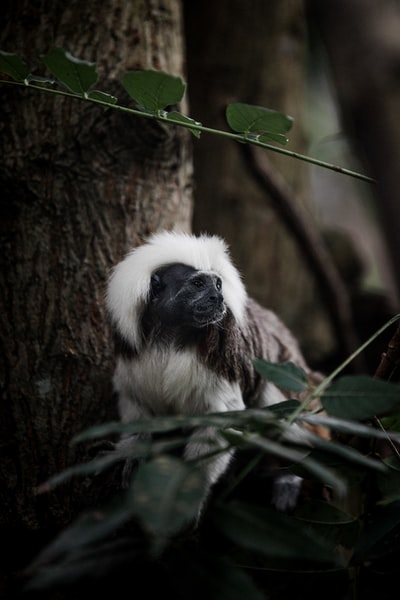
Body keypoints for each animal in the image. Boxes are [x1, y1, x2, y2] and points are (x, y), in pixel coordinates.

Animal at [105, 230, 322, 516]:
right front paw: (132, 451)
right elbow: (135, 403)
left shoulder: (221, 360)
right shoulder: (133, 355)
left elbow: (222, 420)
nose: (217, 299)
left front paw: (190, 490)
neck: (171, 337)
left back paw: (288, 477)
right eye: (198, 284)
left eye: (218, 285)